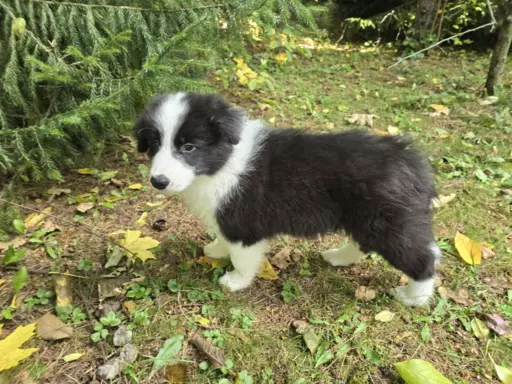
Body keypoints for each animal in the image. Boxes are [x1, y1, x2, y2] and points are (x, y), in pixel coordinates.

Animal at [135, 92, 440, 306]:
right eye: (154, 144)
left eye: (188, 147)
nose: (158, 181)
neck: (222, 163)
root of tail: (411, 161)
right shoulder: (224, 217)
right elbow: (223, 239)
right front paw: (217, 249)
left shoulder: (243, 223)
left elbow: (242, 257)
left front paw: (235, 282)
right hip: (366, 219)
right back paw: (338, 257)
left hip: (388, 222)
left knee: (426, 256)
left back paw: (415, 297)